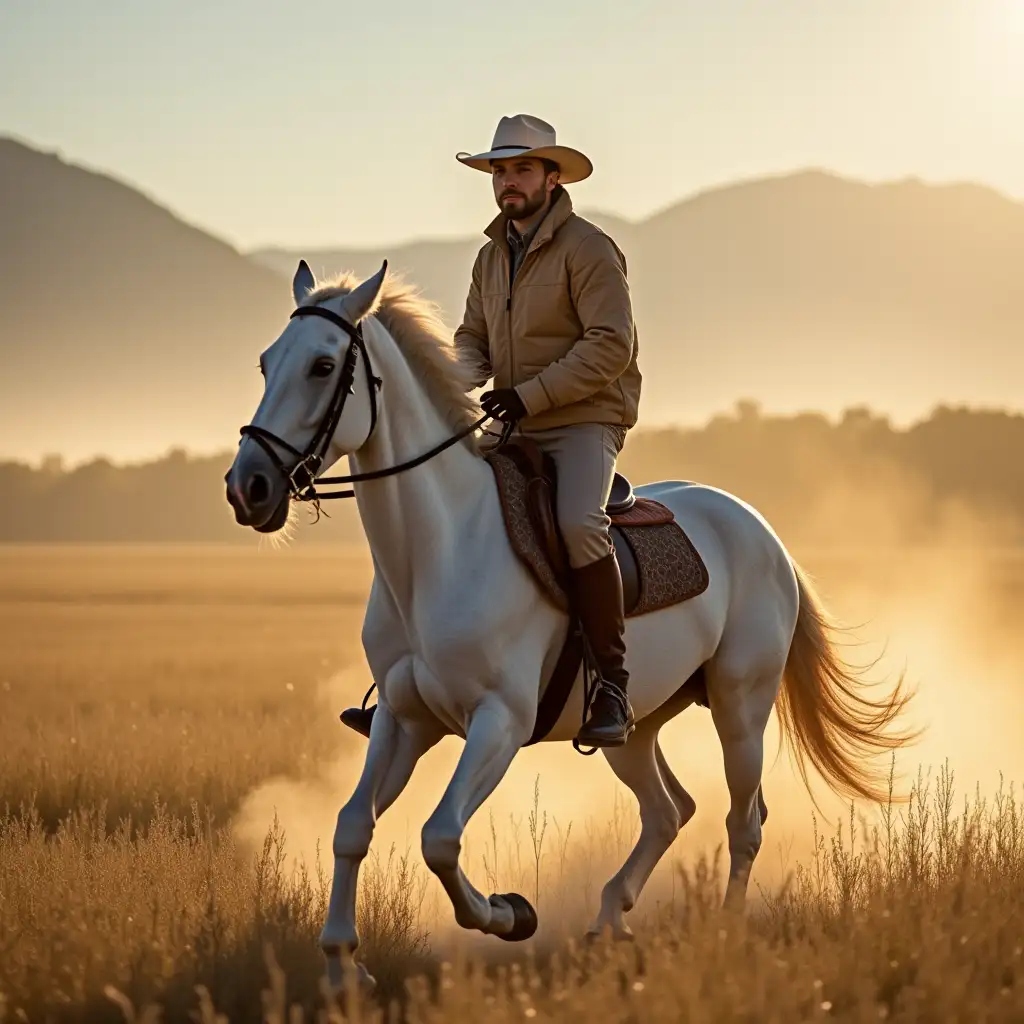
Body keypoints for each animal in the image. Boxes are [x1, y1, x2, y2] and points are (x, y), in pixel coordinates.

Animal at [224, 260, 913, 987]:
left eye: (324, 365)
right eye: (267, 362)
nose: (248, 488)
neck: (439, 551)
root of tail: (760, 530)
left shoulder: (498, 722)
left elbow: (440, 838)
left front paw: (508, 914)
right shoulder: (403, 718)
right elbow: (352, 824)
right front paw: (340, 965)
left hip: (740, 709)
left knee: (741, 820)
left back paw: (721, 930)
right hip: (631, 729)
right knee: (668, 811)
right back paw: (608, 917)